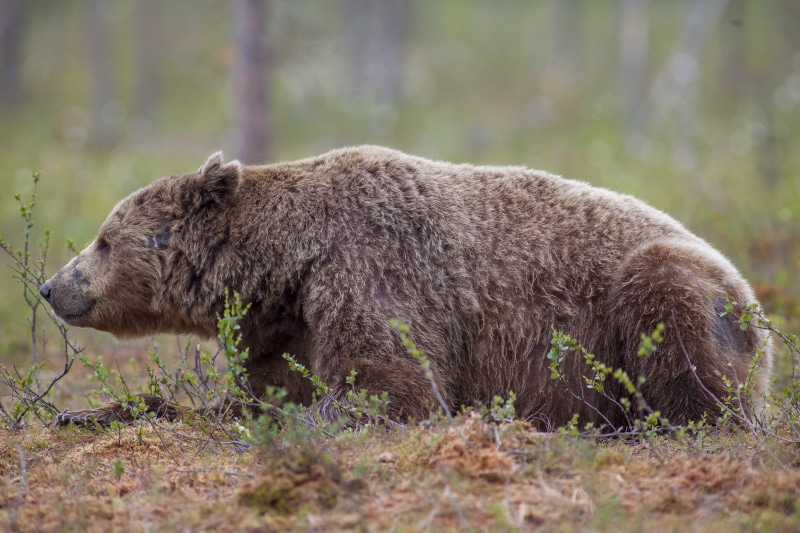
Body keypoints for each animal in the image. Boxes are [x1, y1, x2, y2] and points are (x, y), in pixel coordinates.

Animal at [40, 146, 773, 430]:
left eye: (102, 239)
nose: (51, 287)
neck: (285, 267)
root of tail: (754, 294)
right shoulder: (289, 325)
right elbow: (262, 389)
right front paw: (85, 411)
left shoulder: (372, 269)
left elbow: (393, 388)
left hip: (669, 290)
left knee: (674, 329)